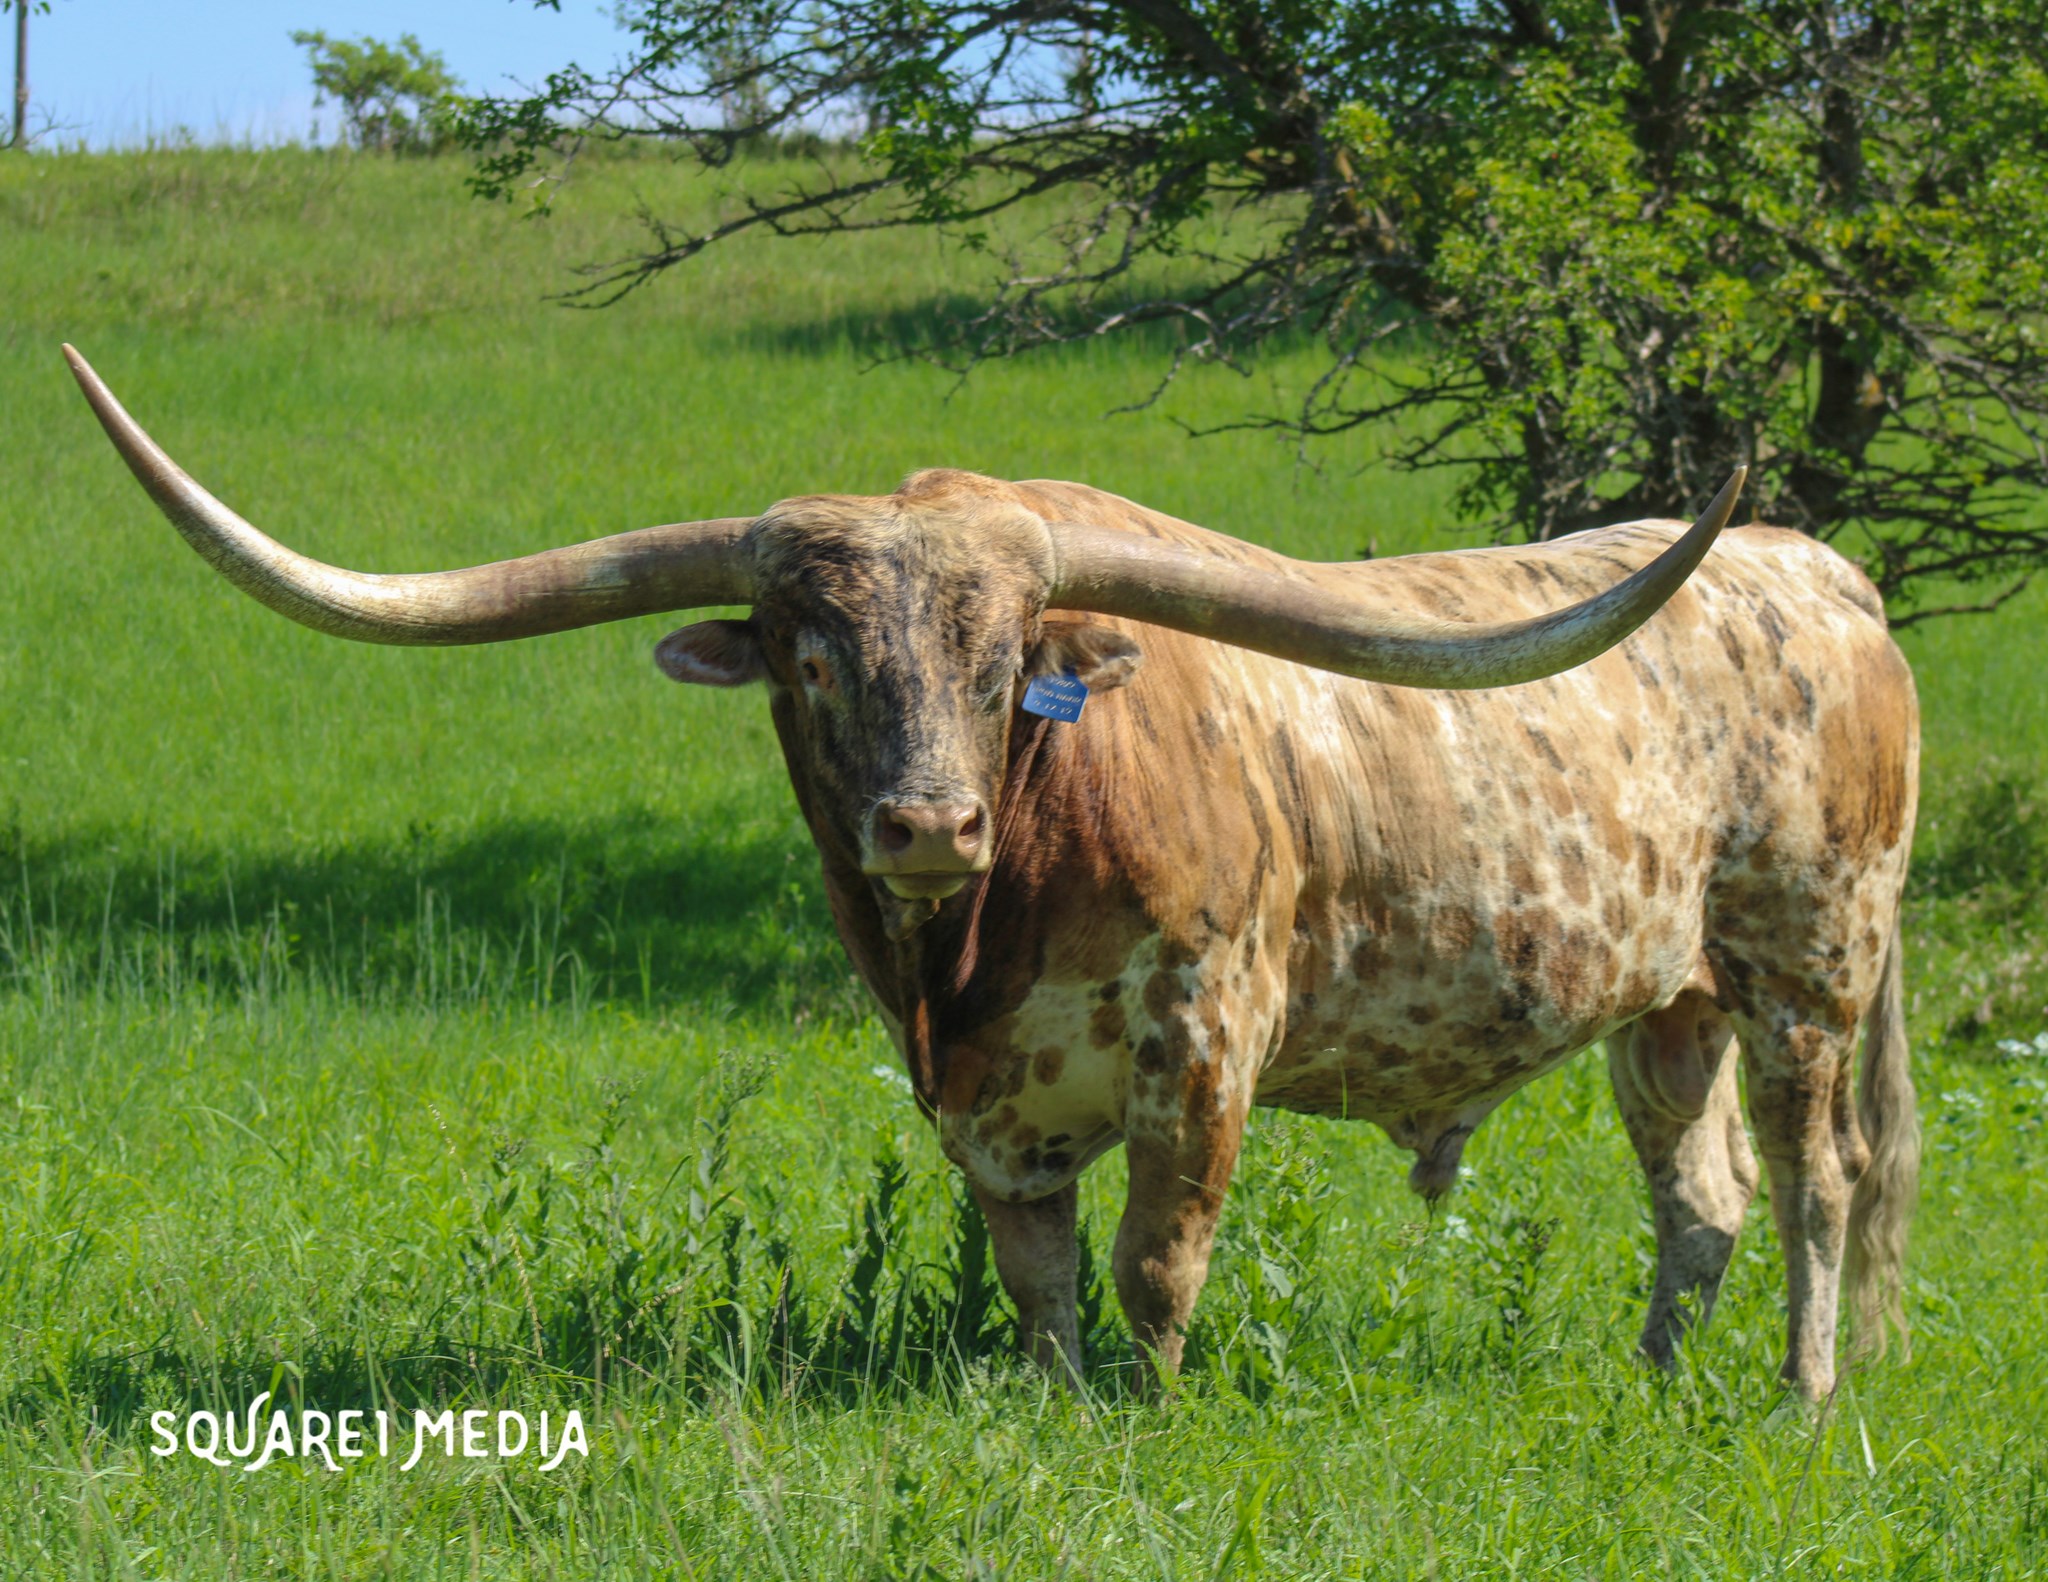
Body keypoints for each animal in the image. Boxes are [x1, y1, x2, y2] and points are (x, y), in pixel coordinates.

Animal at [65, 344, 1918, 1400]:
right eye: (813, 656)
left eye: (998, 655)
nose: (924, 824)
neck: (987, 922)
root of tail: (1818, 572)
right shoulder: (974, 1100)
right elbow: (1036, 1280)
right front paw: (1051, 1412)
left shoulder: (1203, 1042)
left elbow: (1156, 1262)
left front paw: (1147, 1421)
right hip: (1668, 999)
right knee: (1698, 1194)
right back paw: (1654, 1384)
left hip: (1806, 965)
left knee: (1818, 1182)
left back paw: (1799, 1397)